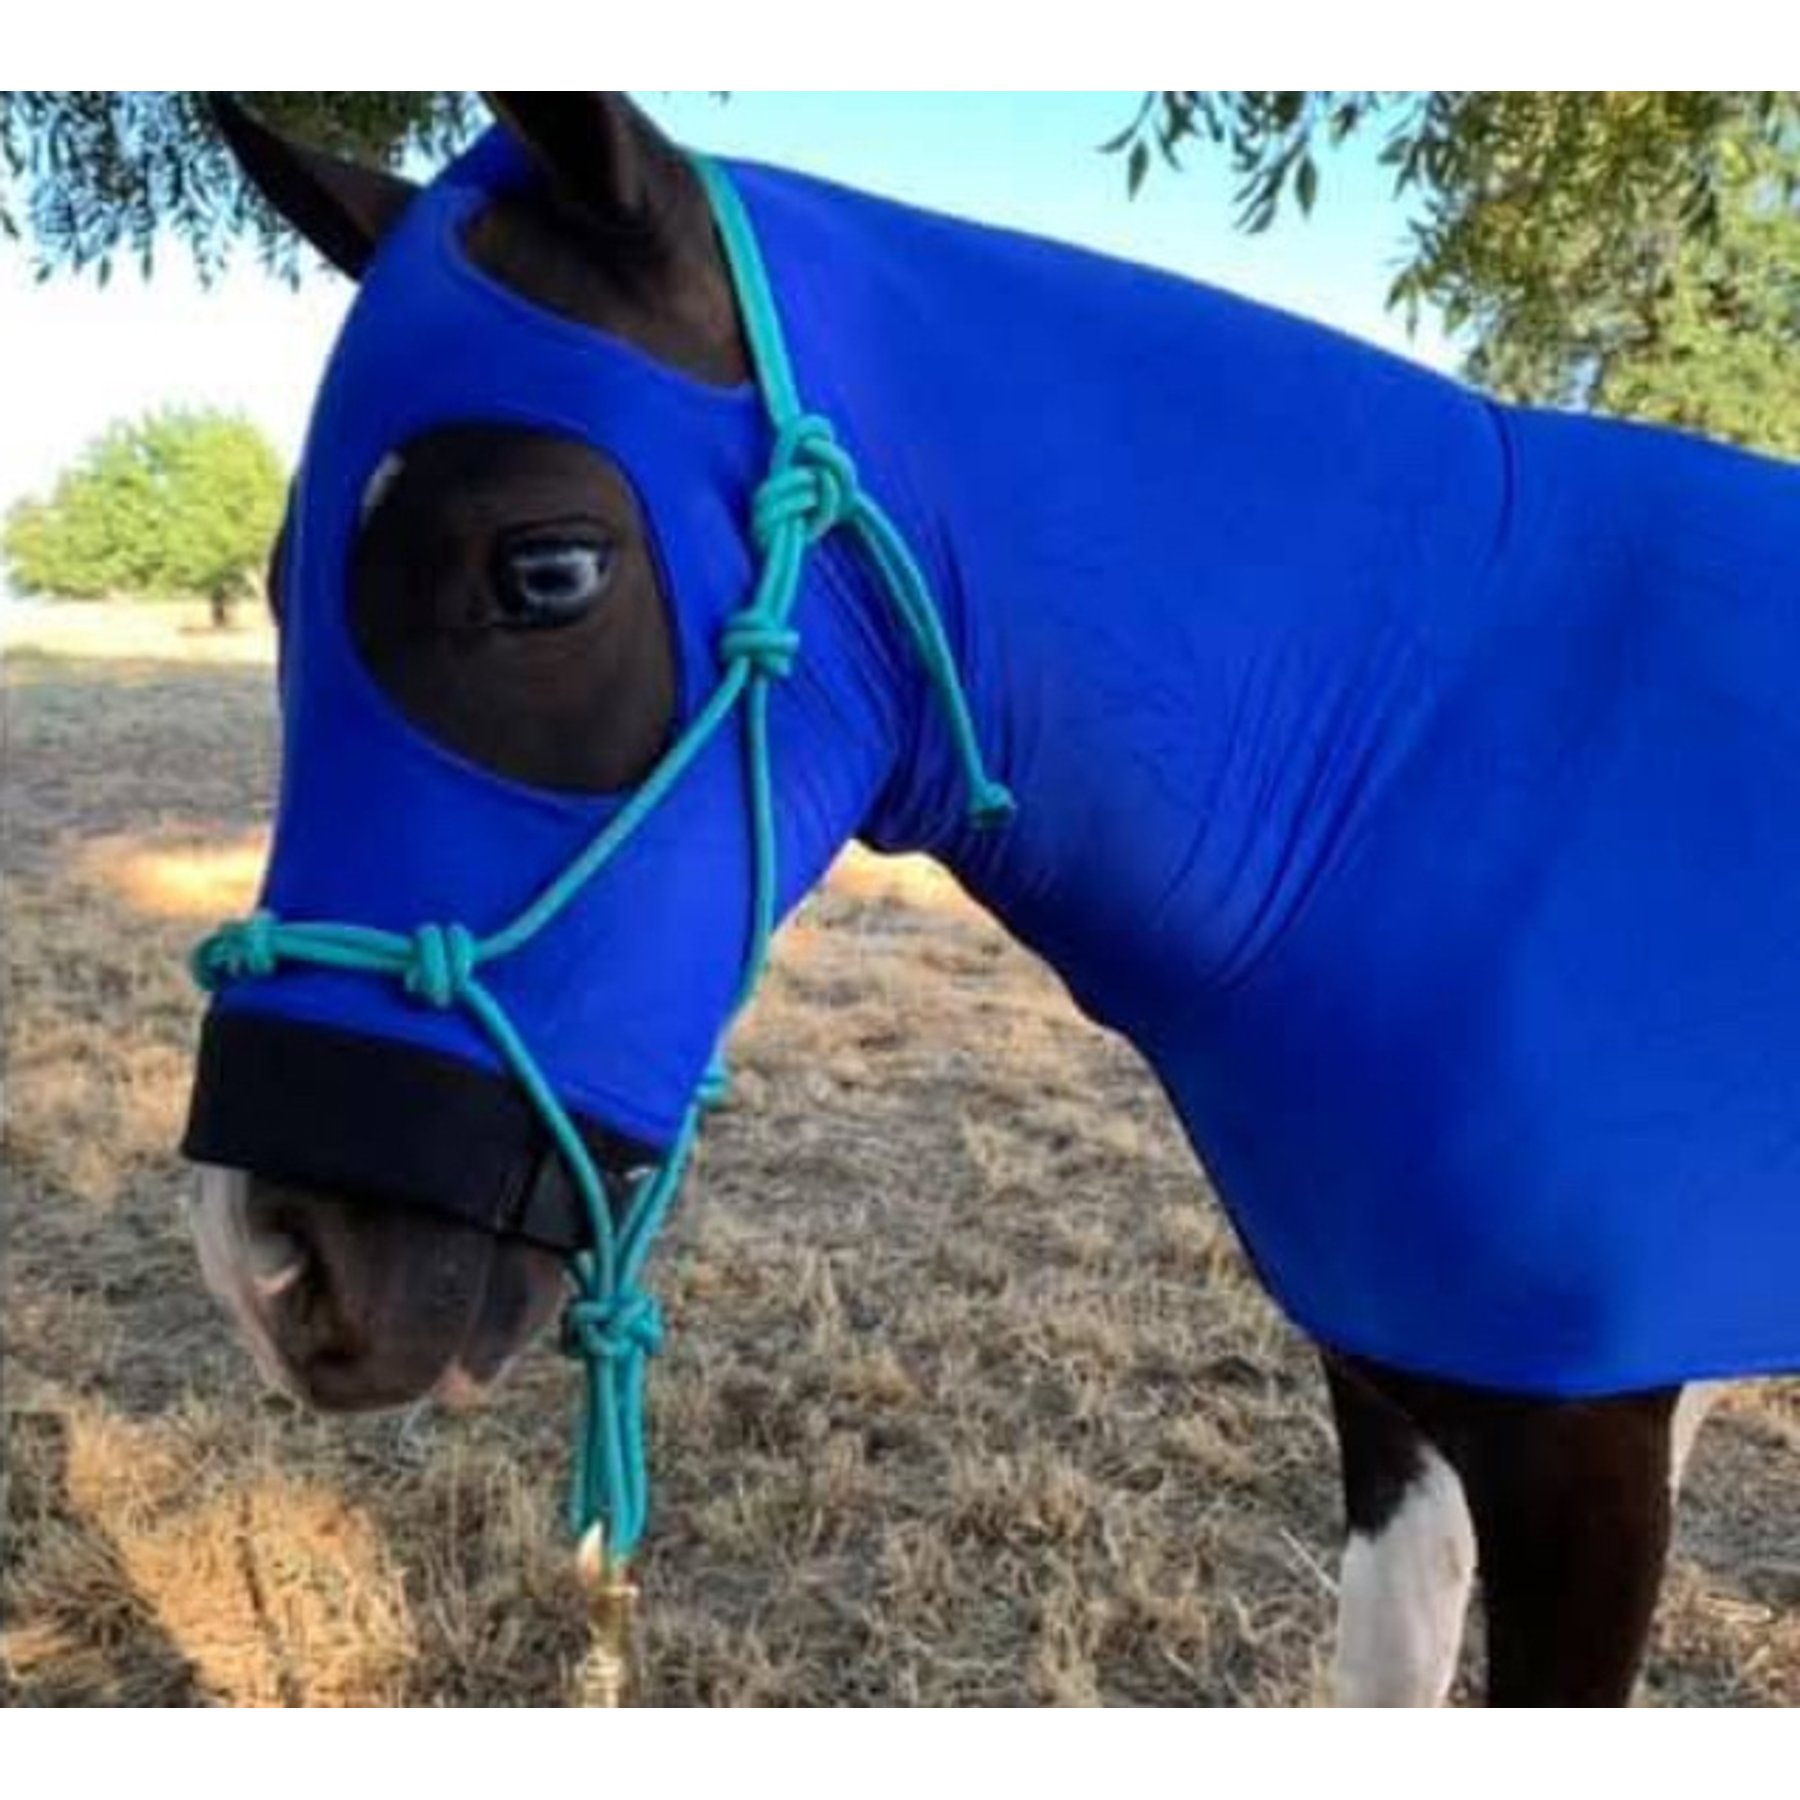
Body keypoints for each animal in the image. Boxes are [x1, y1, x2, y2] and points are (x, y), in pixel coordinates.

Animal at [183, 92, 1800, 1706]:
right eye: (276, 586)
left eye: (550, 568)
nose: (265, 1263)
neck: (1414, 763)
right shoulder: (1395, 1394)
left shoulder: (1587, 1463)